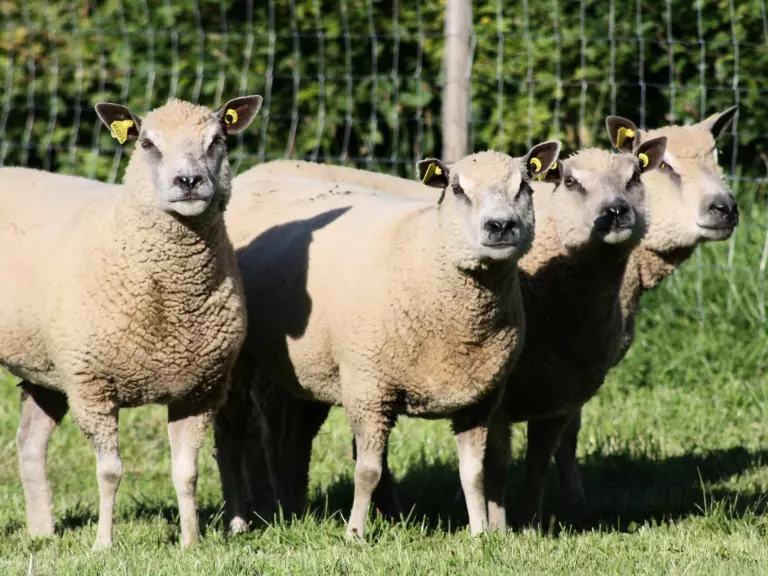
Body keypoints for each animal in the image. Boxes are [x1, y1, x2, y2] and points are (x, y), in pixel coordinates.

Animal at [0, 94, 262, 549]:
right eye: (147, 144)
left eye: (217, 141)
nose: (189, 181)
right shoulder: (93, 387)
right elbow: (110, 472)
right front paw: (103, 545)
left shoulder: (199, 390)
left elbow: (187, 473)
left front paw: (191, 543)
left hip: (48, 366)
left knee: (30, 443)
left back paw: (43, 533)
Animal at [216, 143, 561, 538]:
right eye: (457, 189)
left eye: (524, 187)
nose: (501, 225)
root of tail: (252, 175)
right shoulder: (368, 387)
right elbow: (368, 471)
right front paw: (354, 535)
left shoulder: (480, 398)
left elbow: (473, 473)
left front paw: (479, 534)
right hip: (237, 357)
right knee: (231, 435)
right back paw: (239, 520)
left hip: (307, 368)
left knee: (293, 440)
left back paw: (291, 511)